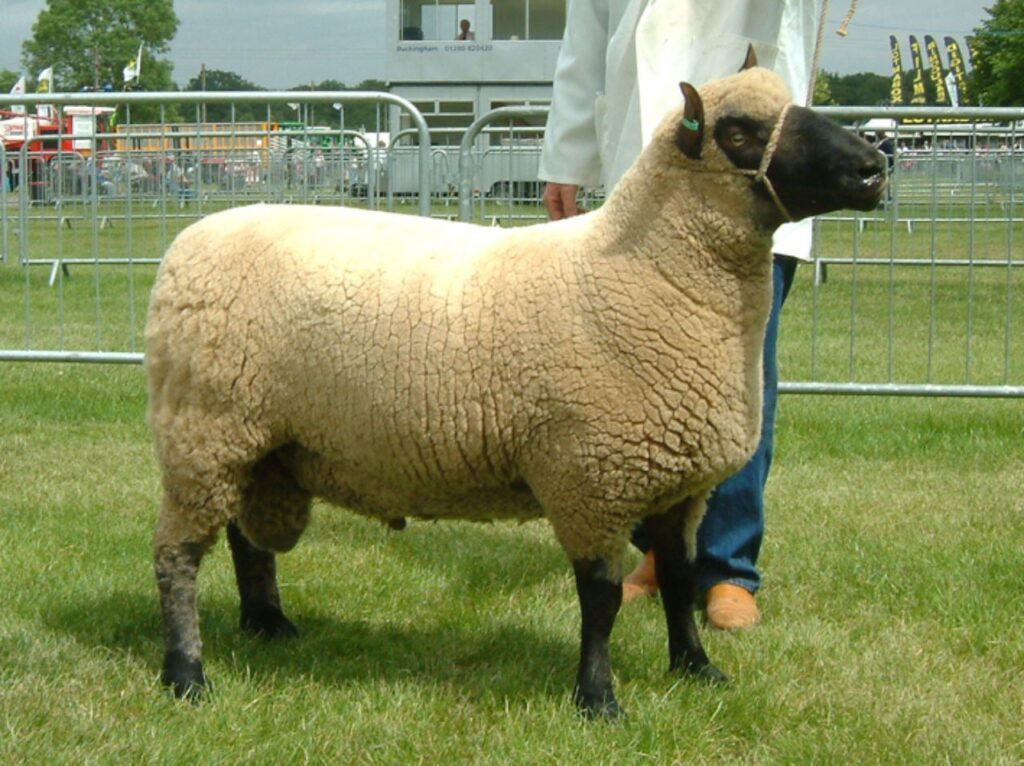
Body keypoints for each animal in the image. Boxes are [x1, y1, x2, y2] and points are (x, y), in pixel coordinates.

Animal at [146, 66, 886, 718]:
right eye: (737, 133)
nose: (875, 168)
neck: (650, 273)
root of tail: (189, 240)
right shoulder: (592, 478)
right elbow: (601, 600)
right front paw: (598, 700)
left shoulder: (682, 485)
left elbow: (679, 582)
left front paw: (697, 669)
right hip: (203, 431)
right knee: (177, 557)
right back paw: (186, 674)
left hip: (259, 441)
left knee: (246, 538)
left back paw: (268, 623)